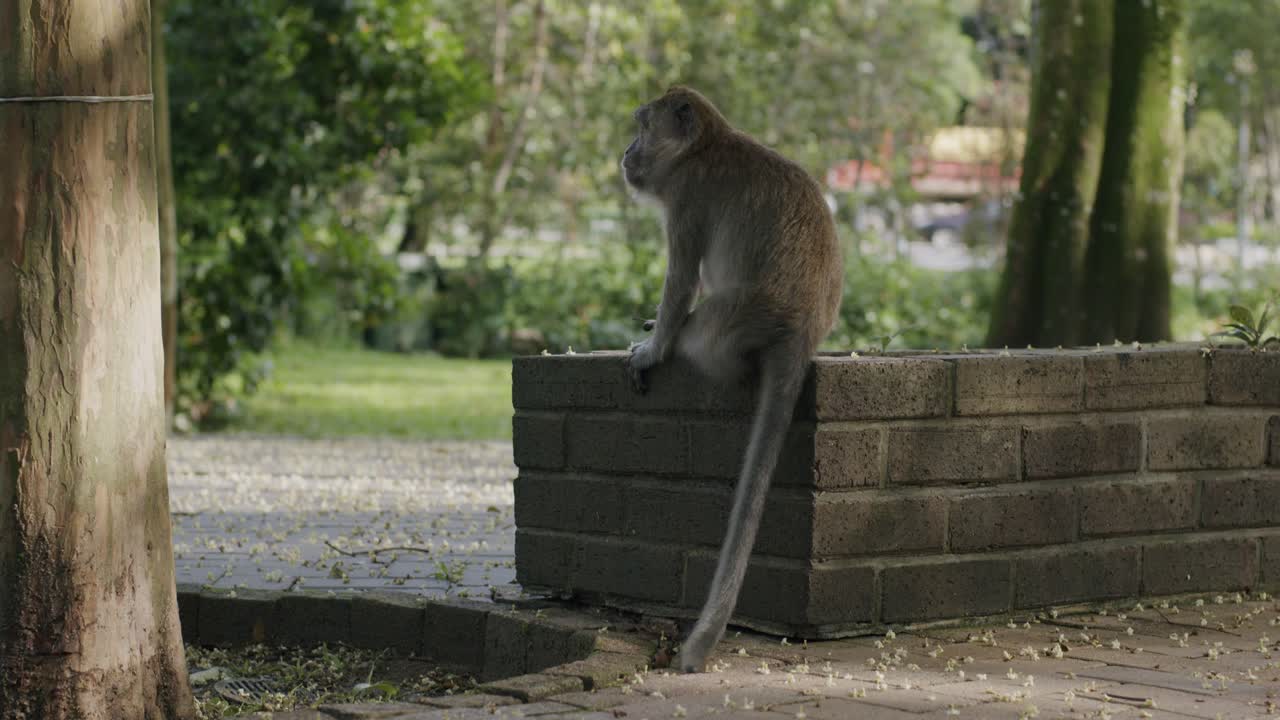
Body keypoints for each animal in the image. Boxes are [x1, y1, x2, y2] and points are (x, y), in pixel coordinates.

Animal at [620, 86, 844, 673]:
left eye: (643, 126)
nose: (626, 150)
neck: (705, 147)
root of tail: (803, 328)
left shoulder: (688, 198)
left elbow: (680, 281)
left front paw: (653, 349)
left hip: (728, 323)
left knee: (701, 323)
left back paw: (683, 347)